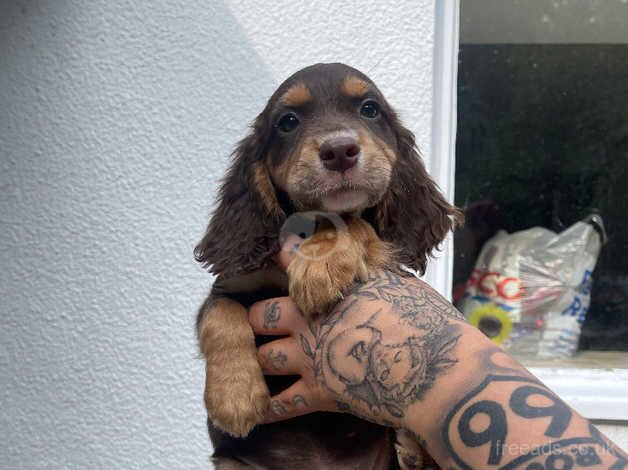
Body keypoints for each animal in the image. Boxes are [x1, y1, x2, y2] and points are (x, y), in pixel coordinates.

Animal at [194, 63, 458, 470]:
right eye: (288, 121)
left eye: (370, 109)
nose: (339, 151)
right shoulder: (232, 284)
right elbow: (219, 317)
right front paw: (233, 397)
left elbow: (349, 221)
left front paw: (320, 269)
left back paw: (414, 447)